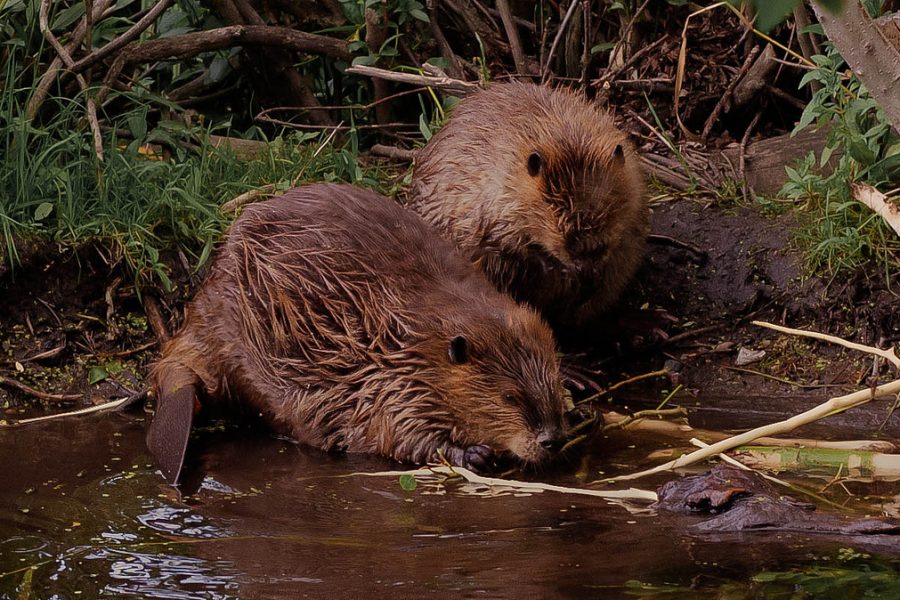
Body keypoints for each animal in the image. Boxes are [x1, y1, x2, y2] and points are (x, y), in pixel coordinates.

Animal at [148, 183, 568, 482]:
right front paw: (471, 453)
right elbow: (398, 434)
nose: (552, 439)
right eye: (510, 396)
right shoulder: (387, 382)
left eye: (553, 380)